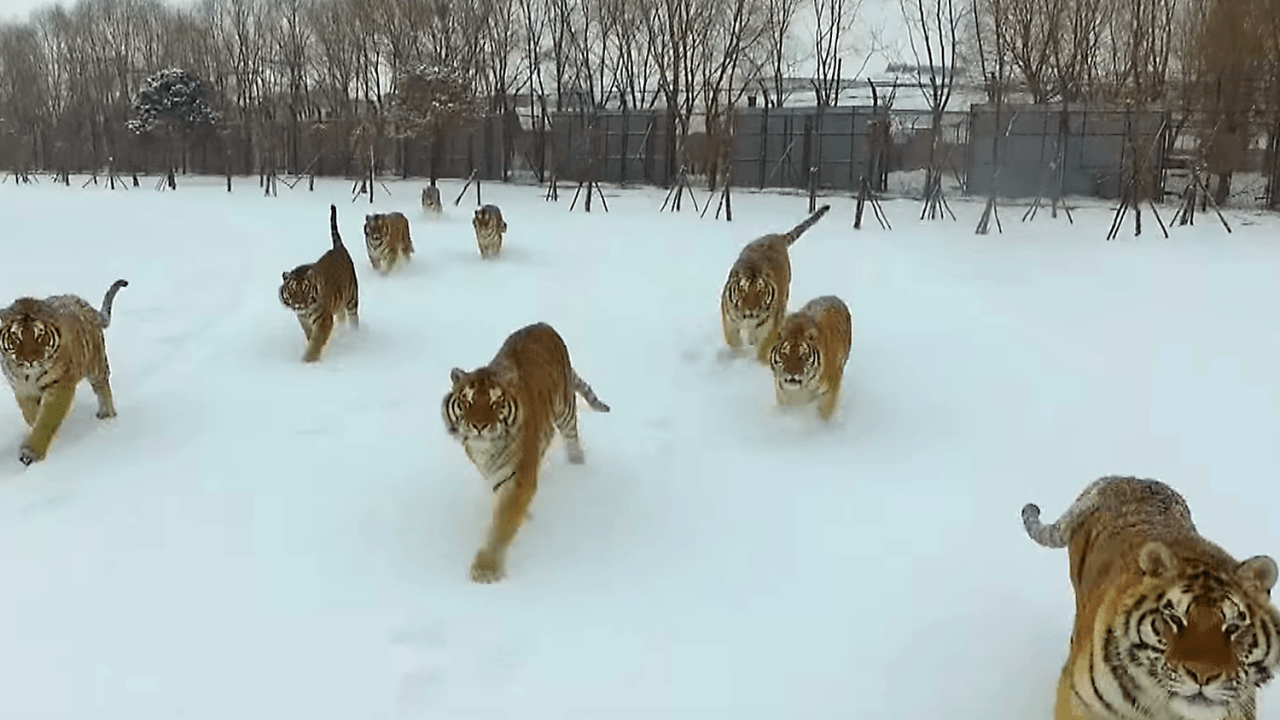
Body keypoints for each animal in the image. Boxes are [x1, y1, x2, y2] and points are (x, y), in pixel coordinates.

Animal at [0, 278, 128, 461]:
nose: (30, 360)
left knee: (103, 389)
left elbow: (46, 419)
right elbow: (32, 415)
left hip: (97, 365)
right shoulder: (22, 390)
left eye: (39, 335)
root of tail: (81, 301)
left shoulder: (60, 384)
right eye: (16, 336)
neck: (28, 376)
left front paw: (31, 451)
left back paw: (107, 416)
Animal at [279, 203, 360, 361]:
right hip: (339, 304)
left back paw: (355, 335)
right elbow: (311, 336)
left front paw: (308, 360)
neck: (305, 312)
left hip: (352, 299)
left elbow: (316, 341)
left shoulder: (323, 320)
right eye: (292, 289)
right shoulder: (304, 320)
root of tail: (338, 248)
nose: (299, 304)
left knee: (353, 318)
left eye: (304, 289)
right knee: (341, 317)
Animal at [442, 322, 611, 579]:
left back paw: (577, 465)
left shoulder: (519, 474)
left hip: (565, 409)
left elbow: (504, 521)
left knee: (573, 439)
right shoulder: (496, 476)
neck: (486, 450)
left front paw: (486, 568)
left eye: (495, 403)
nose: (479, 426)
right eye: (467, 401)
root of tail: (542, 324)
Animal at [721, 202, 829, 361]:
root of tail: (776, 236)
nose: (751, 310)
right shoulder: (730, 323)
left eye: (760, 290)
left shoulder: (769, 329)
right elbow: (734, 342)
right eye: (743, 289)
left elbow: (763, 350)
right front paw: (739, 357)